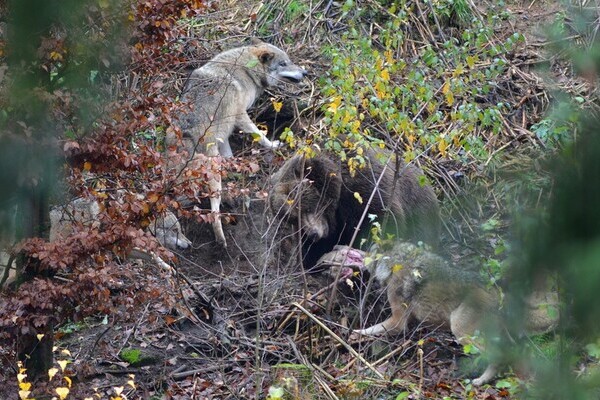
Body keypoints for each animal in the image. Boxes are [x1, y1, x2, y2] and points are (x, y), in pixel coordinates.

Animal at [170, 40, 308, 247]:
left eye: (290, 61)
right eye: (283, 63)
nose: (305, 72)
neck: (246, 70)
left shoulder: (224, 130)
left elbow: (229, 152)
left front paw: (235, 166)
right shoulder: (240, 115)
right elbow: (259, 135)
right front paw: (273, 146)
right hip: (213, 175)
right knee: (213, 213)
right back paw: (221, 240)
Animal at [268, 145, 440, 270]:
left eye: (303, 207)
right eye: (292, 220)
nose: (313, 234)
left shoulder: (363, 188)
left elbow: (381, 221)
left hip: (419, 205)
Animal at [318, 242, 556, 386]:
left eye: (365, 248)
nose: (335, 245)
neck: (391, 260)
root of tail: (500, 295)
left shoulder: (398, 321)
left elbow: (368, 330)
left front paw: (349, 333)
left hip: (460, 330)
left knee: (499, 355)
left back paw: (480, 381)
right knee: (516, 353)